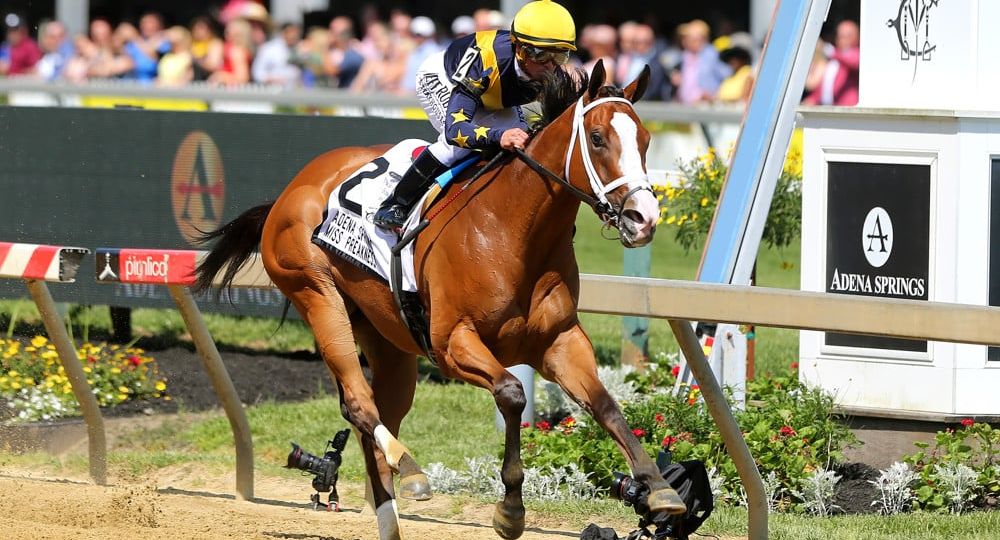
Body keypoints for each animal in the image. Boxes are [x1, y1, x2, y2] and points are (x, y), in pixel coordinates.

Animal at [195, 60, 684, 540]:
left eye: (645, 140)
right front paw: (510, 510)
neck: (512, 230)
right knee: (360, 403)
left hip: (387, 340)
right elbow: (511, 393)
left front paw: (658, 488)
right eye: (598, 138)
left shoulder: (560, 340)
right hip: (316, 294)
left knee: (377, 415)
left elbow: (605, 405)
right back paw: (411, 469)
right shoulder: (452, 344)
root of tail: (293, 188)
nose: (643, 219)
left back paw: (390, 517)